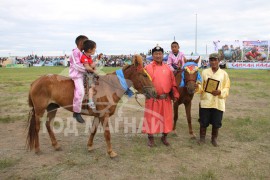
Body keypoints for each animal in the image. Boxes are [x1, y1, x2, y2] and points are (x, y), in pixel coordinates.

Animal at [26, 54, 157, 158]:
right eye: (144, 75)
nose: (154, 92)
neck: (109, 87)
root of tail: (35, 82)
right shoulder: (104, 116)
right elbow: (107, 134)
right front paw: (111, 152)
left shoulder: (98, 115)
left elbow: (93, 131)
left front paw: (89, 146)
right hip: (39, 110)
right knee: (37, 128)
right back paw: (37, 149)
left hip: (52, 107)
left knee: (48, 125)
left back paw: (56, 145)